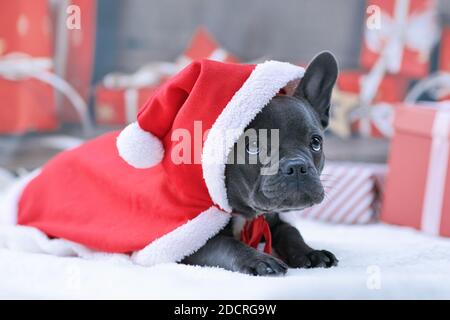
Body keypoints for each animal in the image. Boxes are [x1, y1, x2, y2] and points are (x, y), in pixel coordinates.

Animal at [182, 52, 338, 276]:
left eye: (316, 143)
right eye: (254, 147)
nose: (297, 167)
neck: (246, 214)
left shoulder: (276, 220)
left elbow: (291, 232)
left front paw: (311, 252)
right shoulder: (193, 243)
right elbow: (226, 245)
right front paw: (260, 260)